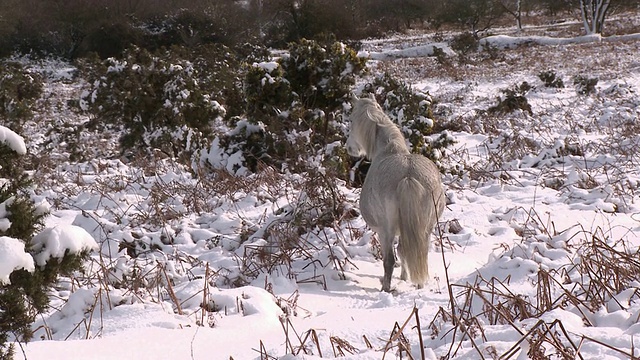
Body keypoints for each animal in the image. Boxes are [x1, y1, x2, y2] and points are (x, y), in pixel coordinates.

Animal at [344, 93, 444, 292]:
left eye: (351, 119)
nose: (349, 148)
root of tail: (408, 176)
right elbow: (404, 251)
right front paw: (405, 277)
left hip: (386, 230)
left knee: (389, 259)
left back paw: (386, 288)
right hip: (426, 227)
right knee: (419, 252)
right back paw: (419, 284)